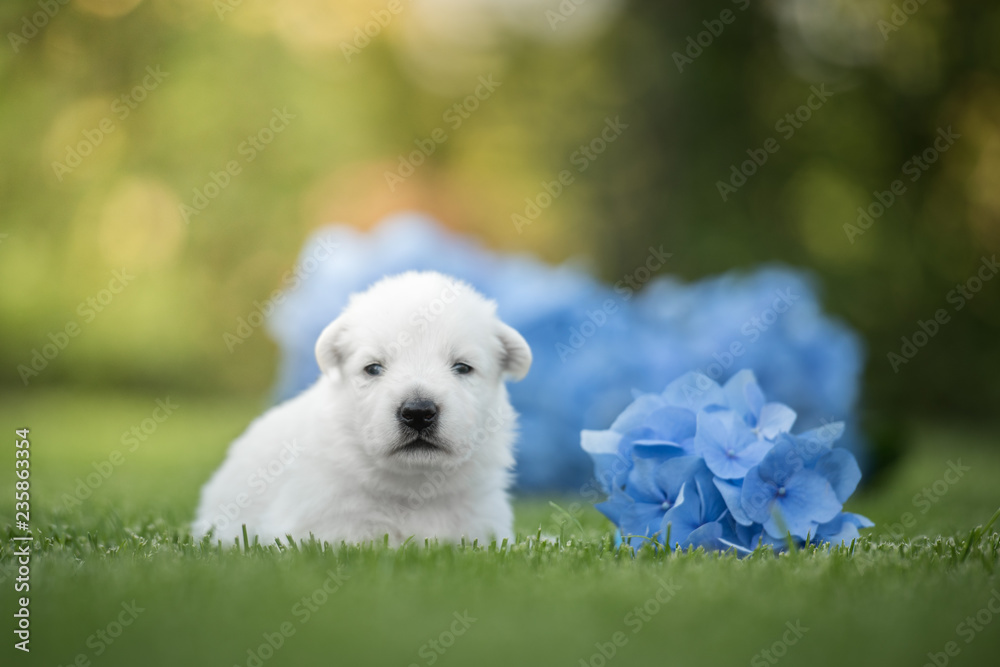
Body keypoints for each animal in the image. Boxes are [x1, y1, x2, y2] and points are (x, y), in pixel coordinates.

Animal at [193, 272, 532, 548]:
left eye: (462, 367)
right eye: (373, 368)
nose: (418, 412)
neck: (415, 485)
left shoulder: (482, 521)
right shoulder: (325, 520)